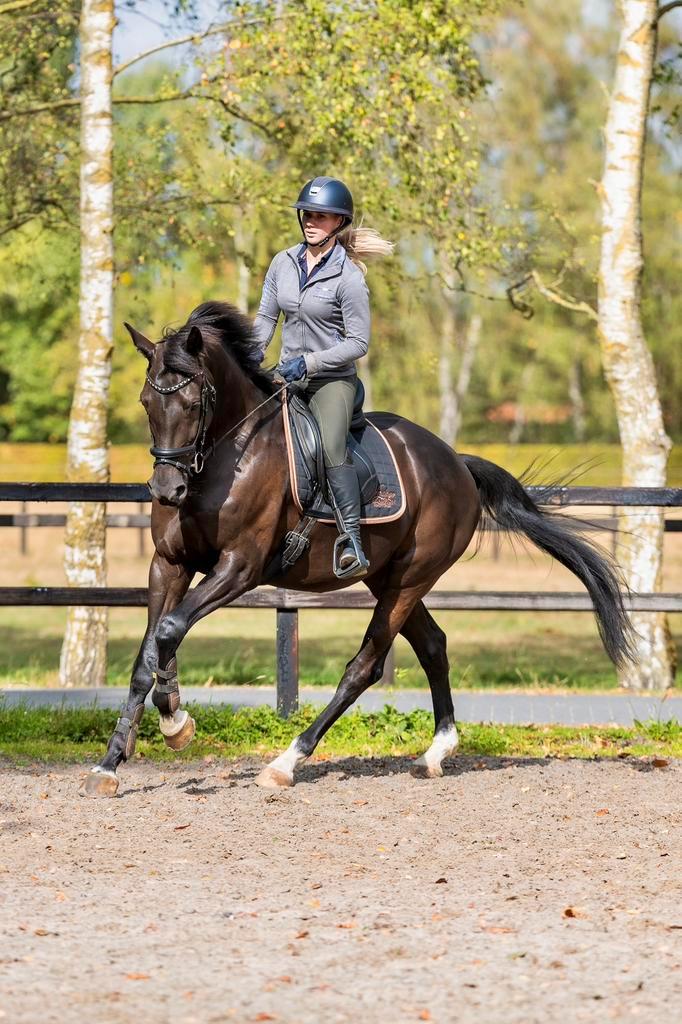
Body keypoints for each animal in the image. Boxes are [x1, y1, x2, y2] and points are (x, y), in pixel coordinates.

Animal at [83, 301, 633, 797]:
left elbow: (170, 630)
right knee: (433, 645)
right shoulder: (169, 565)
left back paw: (287, 761)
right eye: (146, 402)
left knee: (364, 666)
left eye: (195, 403)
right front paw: (112, 763)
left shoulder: (238, 569)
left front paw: (175, 721)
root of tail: (456, 462)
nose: (166, 491)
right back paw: (435, 753)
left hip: (409, 580)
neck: (223, 459)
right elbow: (149, 652)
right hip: (387, 577)